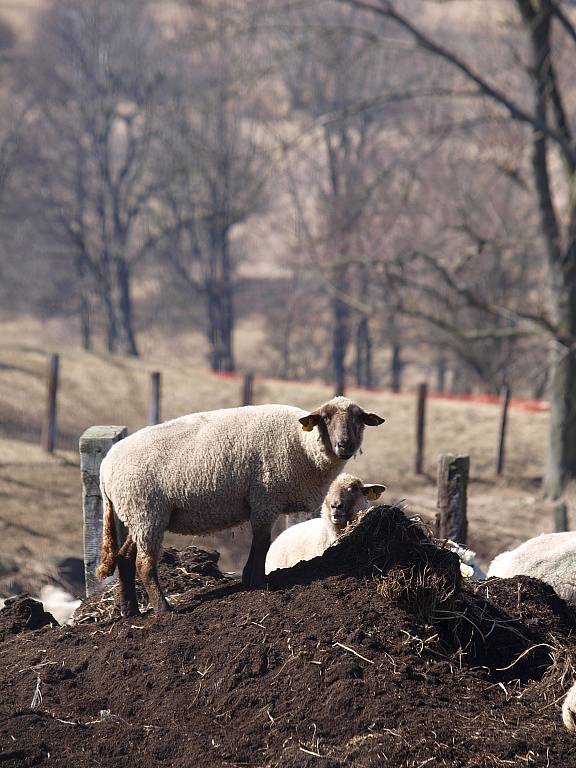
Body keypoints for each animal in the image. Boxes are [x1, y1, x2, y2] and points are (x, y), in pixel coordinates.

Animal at [95, 400, 382, 616]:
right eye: (325, 418)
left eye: (359, 419)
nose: (345, 445)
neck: (303, 445)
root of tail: (105, 468)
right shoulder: (265, 498)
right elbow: (262, 544)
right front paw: (257, 582)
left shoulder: (262, 503)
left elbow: (259, 544)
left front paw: (249, 579)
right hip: (147, 512)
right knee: (144, 563)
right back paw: (164, 610)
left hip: (138, 516)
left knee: (124, 557)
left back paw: (130, 611)